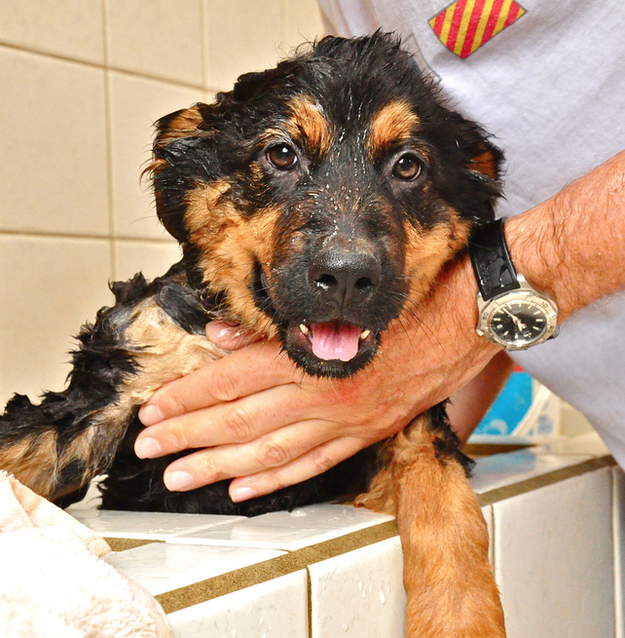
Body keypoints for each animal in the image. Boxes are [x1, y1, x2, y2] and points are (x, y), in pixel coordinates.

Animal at [0, 33, 508, 636]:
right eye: (281, 154)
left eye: (409, 166)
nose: (347, 276)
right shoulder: (131, 361)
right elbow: (26, 447)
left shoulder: (407, 421)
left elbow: (449, 506)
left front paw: (462, 616)